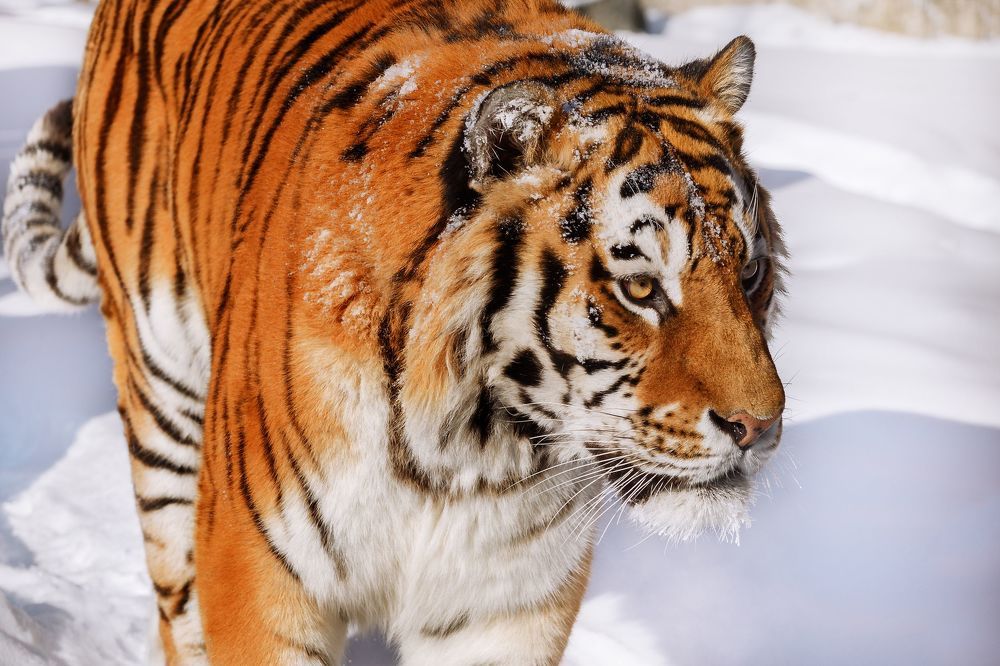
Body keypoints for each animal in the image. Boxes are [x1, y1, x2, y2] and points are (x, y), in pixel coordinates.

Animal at [1, 0, 786, 663]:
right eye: (640, 287)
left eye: (749, 273)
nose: (759, 427)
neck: (468, 450)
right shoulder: (262, 576)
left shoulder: (506, 606)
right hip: (163, 410)